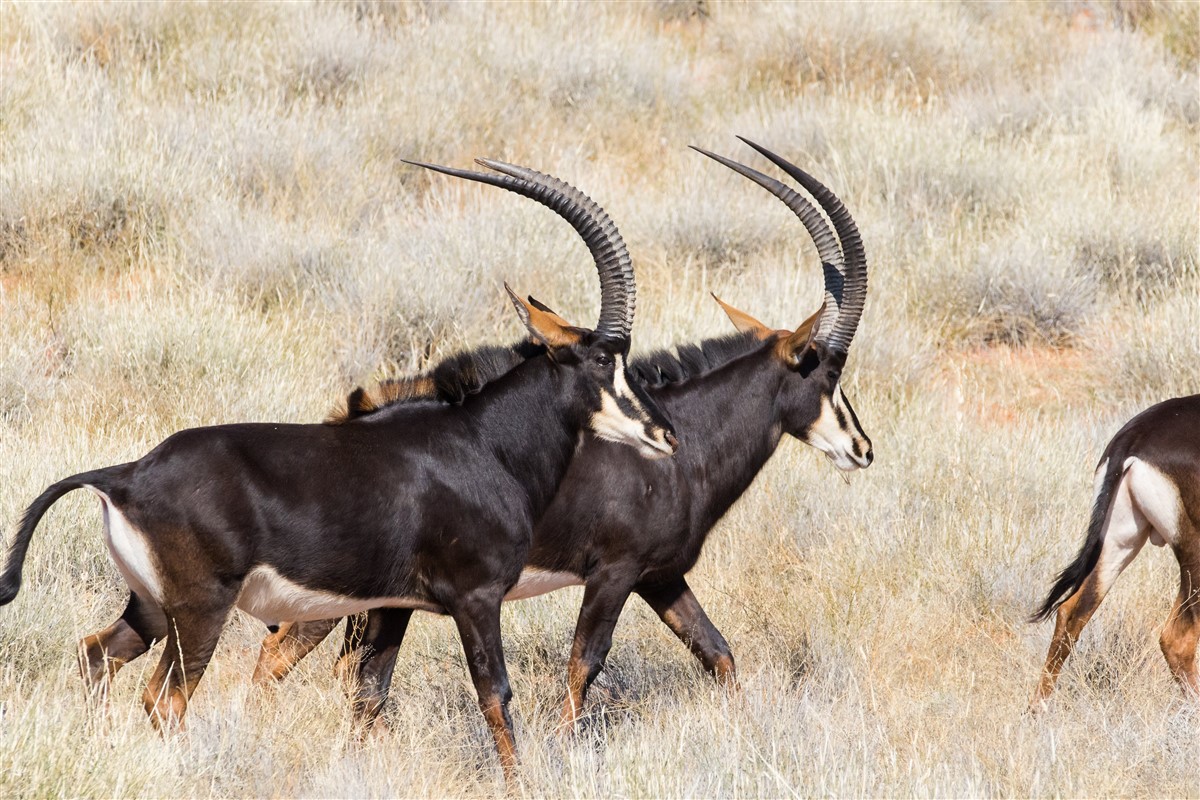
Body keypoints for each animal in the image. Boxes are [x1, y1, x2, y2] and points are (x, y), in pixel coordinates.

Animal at [0, 159, 677, 779]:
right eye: (603, 361)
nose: (666, 434)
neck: (484, 443)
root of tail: (126, 475)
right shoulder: (476, 597)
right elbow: (495, 694)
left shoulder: (393, 604)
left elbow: (370, 692)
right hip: (199, 613)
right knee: (164, 699)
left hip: (148, 607)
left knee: (96, 656)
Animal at [251, 138, 874, 730]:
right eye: (829, 372)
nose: (863, 450)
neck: (688, 446)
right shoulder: (615, 572)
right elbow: (584, 664)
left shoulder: (661, 576)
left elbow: (718, 652)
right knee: (280, 659)